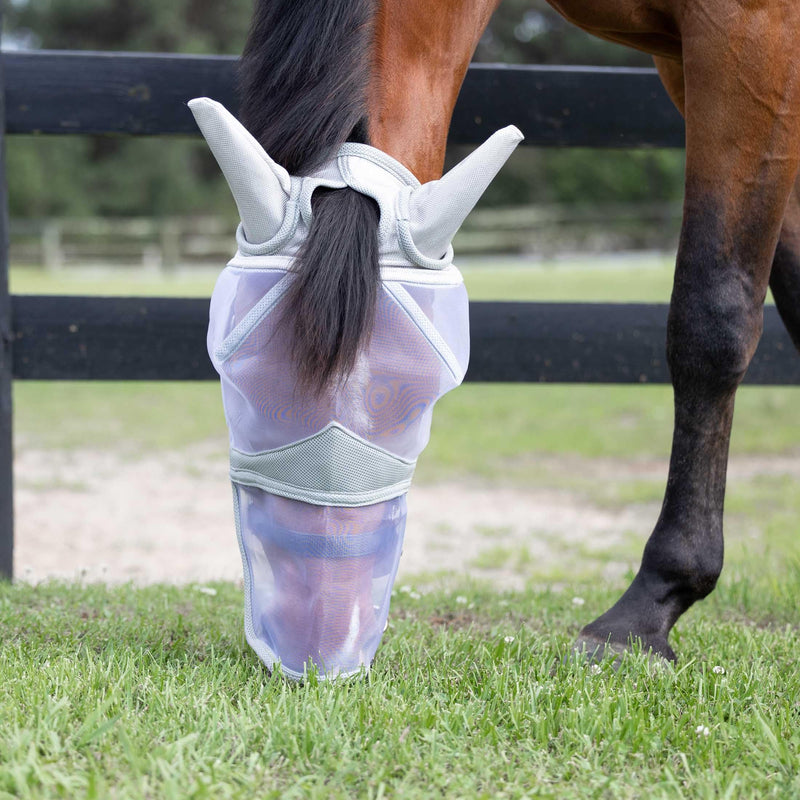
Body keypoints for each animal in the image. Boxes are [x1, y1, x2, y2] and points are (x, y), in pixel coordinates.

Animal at [237, 0, 800, 663]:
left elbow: (712, 317)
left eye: (414, 392)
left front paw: (645, 611)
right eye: (239, 384)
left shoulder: (753, 38)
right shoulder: (689, 61)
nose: (316, 639)